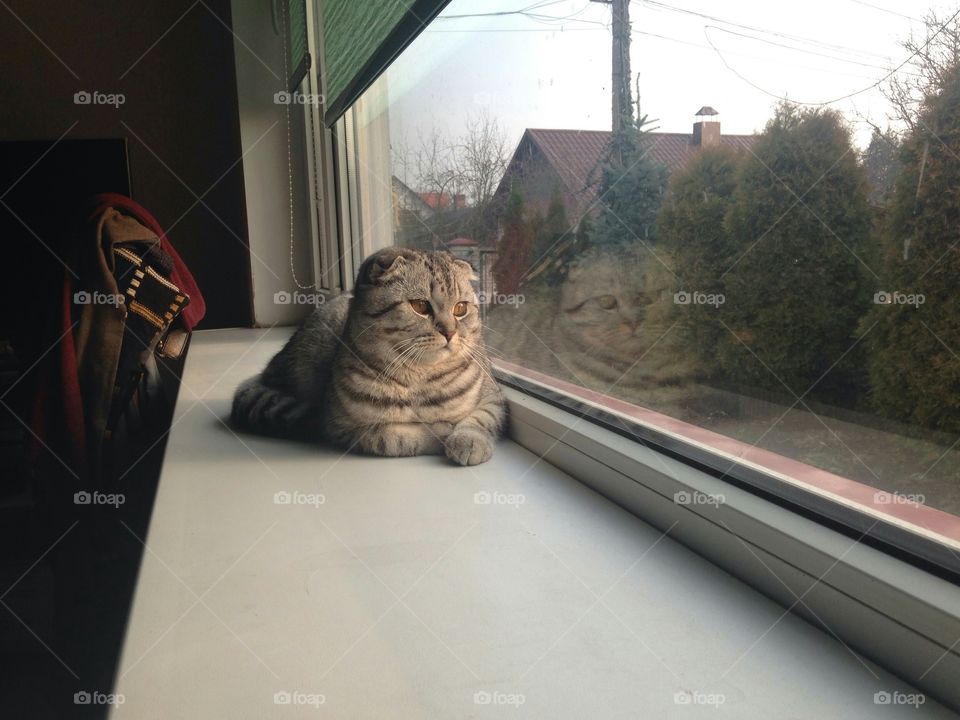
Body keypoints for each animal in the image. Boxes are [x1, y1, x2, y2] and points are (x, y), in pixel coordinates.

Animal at [232, 245, 506, 464]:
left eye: (460, 308)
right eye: (420, 306)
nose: (450, 332)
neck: (419, 380)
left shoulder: (493, 398)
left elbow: (480, 419)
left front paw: (468, 440)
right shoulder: (344, 428)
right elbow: (395, 438)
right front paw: (440, 431)